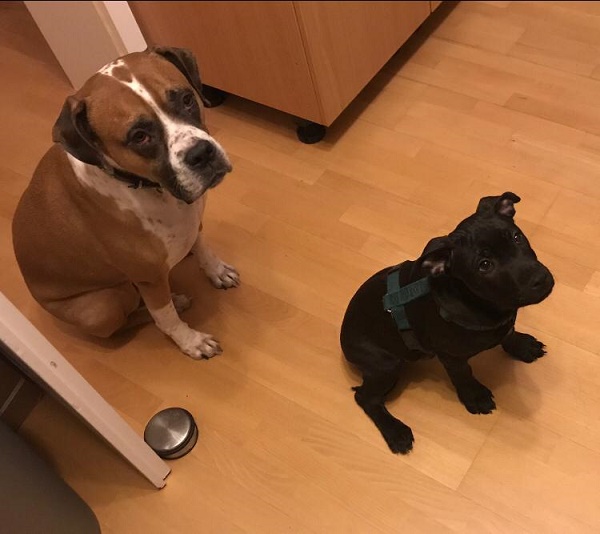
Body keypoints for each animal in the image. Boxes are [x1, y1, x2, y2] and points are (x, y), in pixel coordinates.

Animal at [12, 46, 239, 359]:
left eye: (186, 99)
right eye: (139, 136)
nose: (201, 153)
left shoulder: (195, 224)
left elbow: (203, 248)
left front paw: (216, 271)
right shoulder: (149, 279)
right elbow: (165, 319)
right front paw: (191, 341)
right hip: (101, 307)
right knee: (126, 320)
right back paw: (175, 302)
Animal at [340, 192, 554, 453]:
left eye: (517, 237)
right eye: (484, 265)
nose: (541, 279)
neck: (483, 303)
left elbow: (509, 331)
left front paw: (522, 346)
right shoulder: (451, 355)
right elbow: (463, 374)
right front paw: (474, 395)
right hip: (386, 365)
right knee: (365, 398)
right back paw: (396, 432)